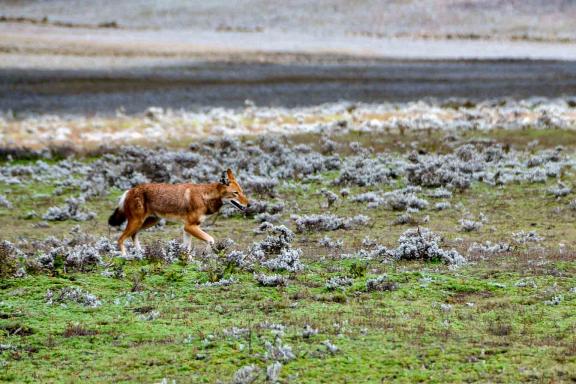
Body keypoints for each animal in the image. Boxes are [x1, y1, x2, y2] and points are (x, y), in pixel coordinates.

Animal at [109, 169, 249, 255]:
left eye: (242, 192)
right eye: (235, 193)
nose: (249, 204)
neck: (204, 197)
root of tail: (129, 190)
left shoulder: (187, 228)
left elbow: (186, 248)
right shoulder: (189, 227)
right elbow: (211, 239)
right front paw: (205, 253)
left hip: (150, 222)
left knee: (133, 235)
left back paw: (140, 255)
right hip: (137, 222)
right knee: (120, 239)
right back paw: (126, 257)